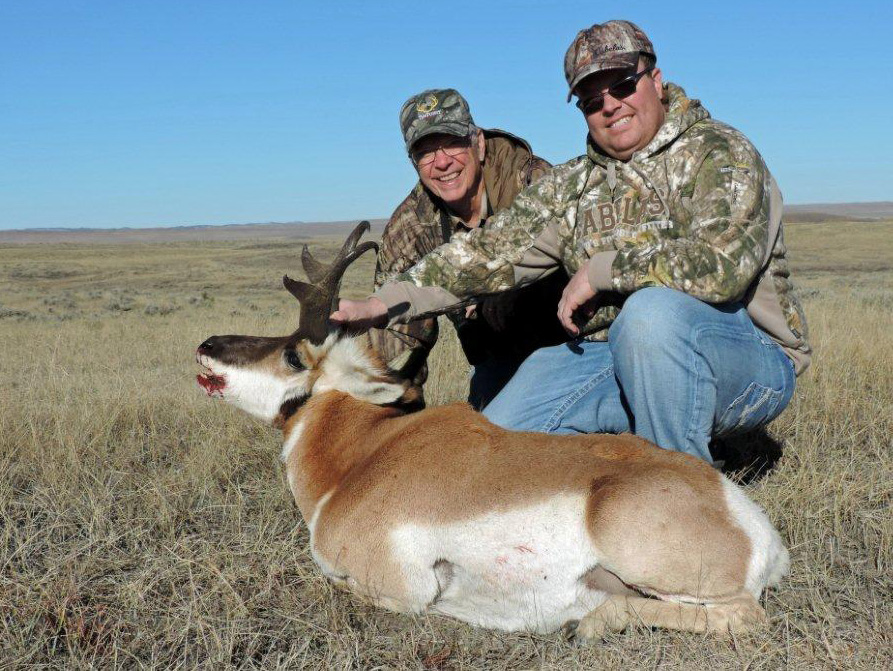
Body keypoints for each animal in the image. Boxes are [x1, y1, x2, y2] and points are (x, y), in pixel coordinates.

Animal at [195, 221, 789, 639]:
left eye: (294, 354)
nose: (207, 344)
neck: (360, 460)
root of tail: (750, 525)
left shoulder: (394, 587)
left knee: (744, 617)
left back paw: (587, 623)